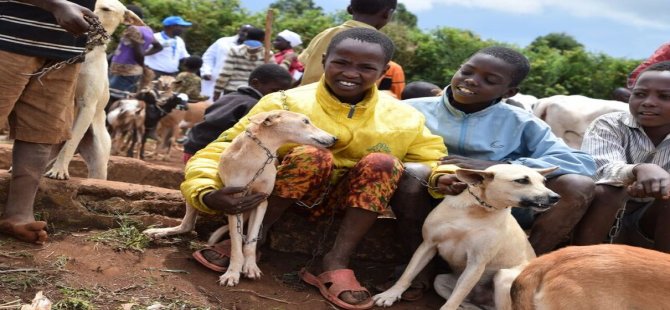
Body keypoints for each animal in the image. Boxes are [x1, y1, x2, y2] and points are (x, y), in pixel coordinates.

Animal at [144, 110, 338, 286]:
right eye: (305, 121)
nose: (335, 138)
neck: (257, 156)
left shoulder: (261, 201)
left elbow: (250, 243)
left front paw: (250, 266)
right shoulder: (235, 203)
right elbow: (236, 244)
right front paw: (232, 272)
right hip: (188, 189)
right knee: (187, 224)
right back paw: (159, 231)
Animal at [372, 163, 560, 308]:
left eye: (544, 181)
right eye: (522, 180)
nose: (555, 197)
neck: (478, 209)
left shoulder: (476, 263)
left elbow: (454, 299)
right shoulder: (427, 245)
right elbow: (408, 274)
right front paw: (391, 294)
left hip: (504, 277)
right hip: (440, 281)